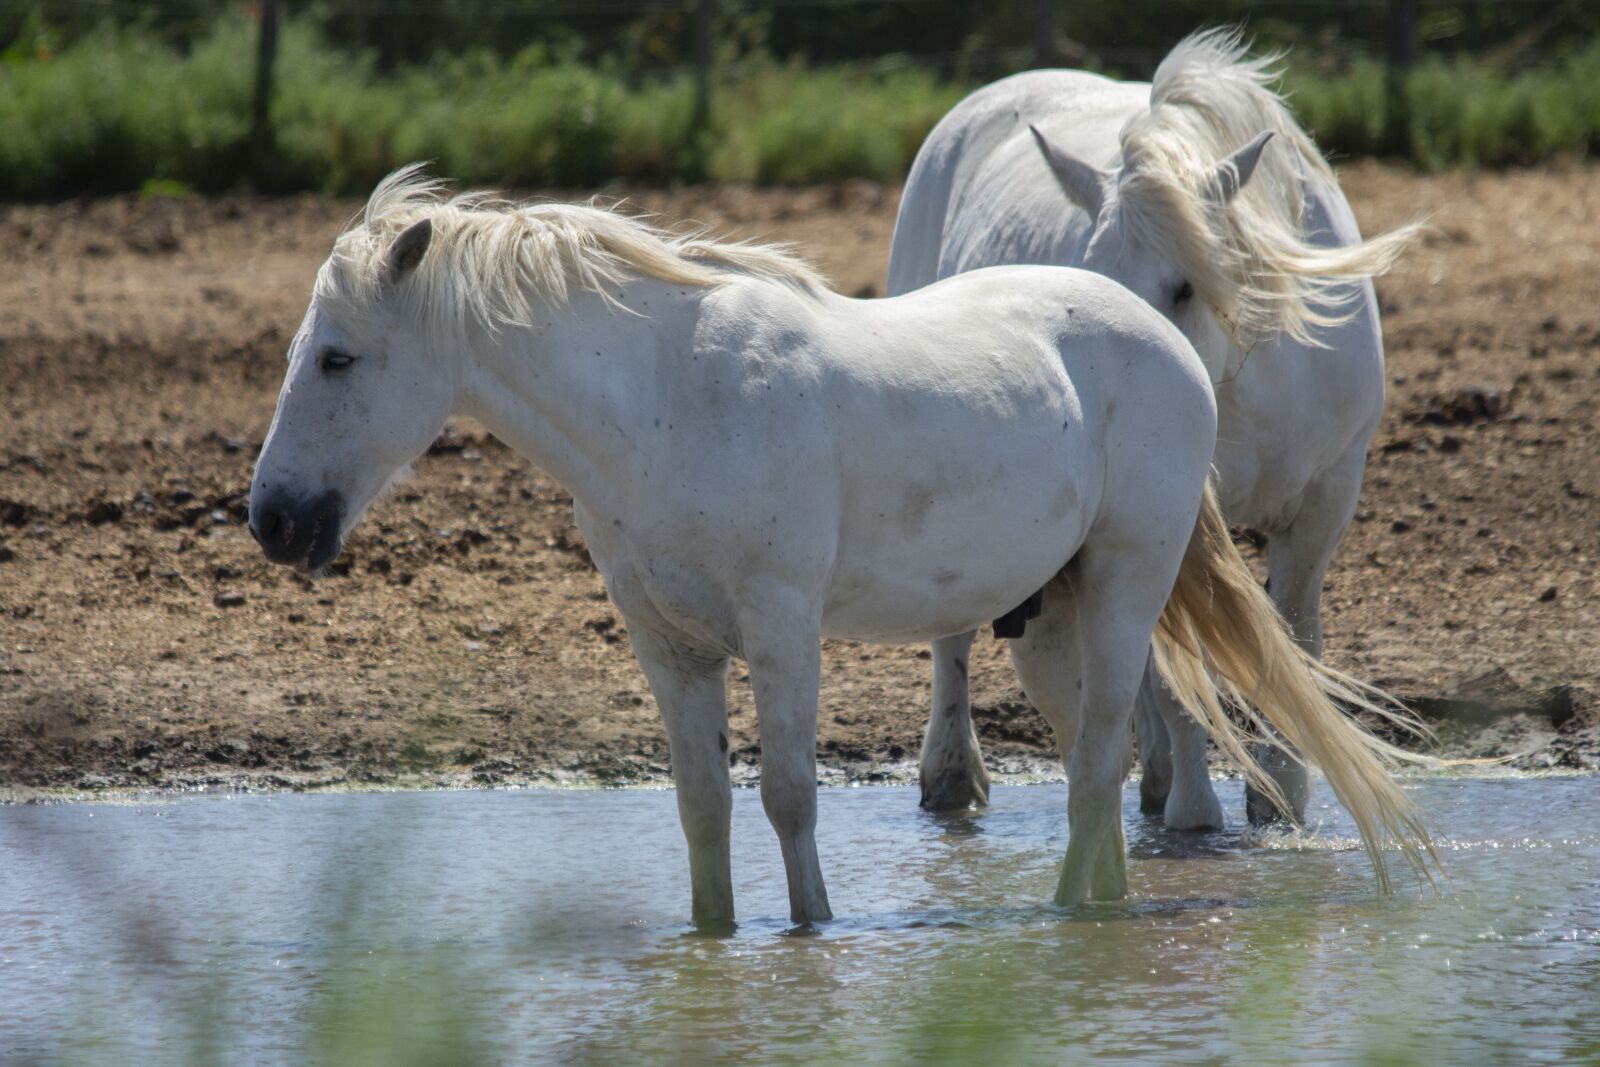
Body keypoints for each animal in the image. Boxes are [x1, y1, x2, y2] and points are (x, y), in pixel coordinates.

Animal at [247, 167, 1433, 928]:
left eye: (340, 358)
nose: (274, 520)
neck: (671, 402)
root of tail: (1167, 346)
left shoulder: (782, 628)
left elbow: (787, 793)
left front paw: (809, 933)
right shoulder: (666, 643)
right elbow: (702, 803)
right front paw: (715, 938)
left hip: (1124, 591)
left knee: (1102, 762)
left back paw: (1062, 923)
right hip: (1047, 621)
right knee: (1095, 776)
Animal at [889, 29, 1421, 828]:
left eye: (1185, 287)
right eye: (1088, 272)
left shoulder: (1322, 505)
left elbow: (1294, 643)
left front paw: (1283, 800)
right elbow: (1178, 678)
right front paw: (1197, 815)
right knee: (961, 635)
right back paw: (956, 775)